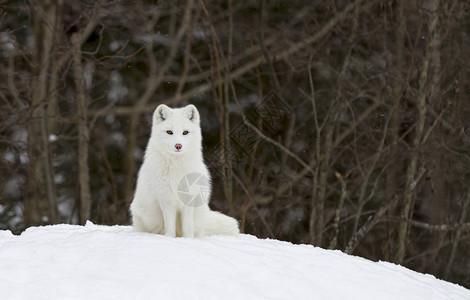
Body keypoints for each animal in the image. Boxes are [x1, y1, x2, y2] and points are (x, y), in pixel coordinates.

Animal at [129, 104, 241, 238]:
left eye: (185, 132)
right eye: (169, 132)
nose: (178, 146)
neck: (176, 169)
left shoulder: (189, 199)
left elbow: (187, 225)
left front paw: (188, 239)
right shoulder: (166, 199)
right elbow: (169, 223)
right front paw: (169, 237)